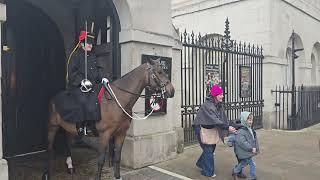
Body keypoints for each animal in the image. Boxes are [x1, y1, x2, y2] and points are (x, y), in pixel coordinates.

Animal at [42, 58, 175, 179]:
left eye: (163, 70)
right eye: (159, 72)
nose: (172, 91)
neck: (118, 100)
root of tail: (54, 98)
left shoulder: (121, 133)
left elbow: (117, 157)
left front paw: (117, 176)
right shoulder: (105, 134)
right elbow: (101, 160)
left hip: (70, 129)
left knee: (67, 144)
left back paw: (70, 166)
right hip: (52, 127)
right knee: (49, 149)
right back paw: (47, 174)